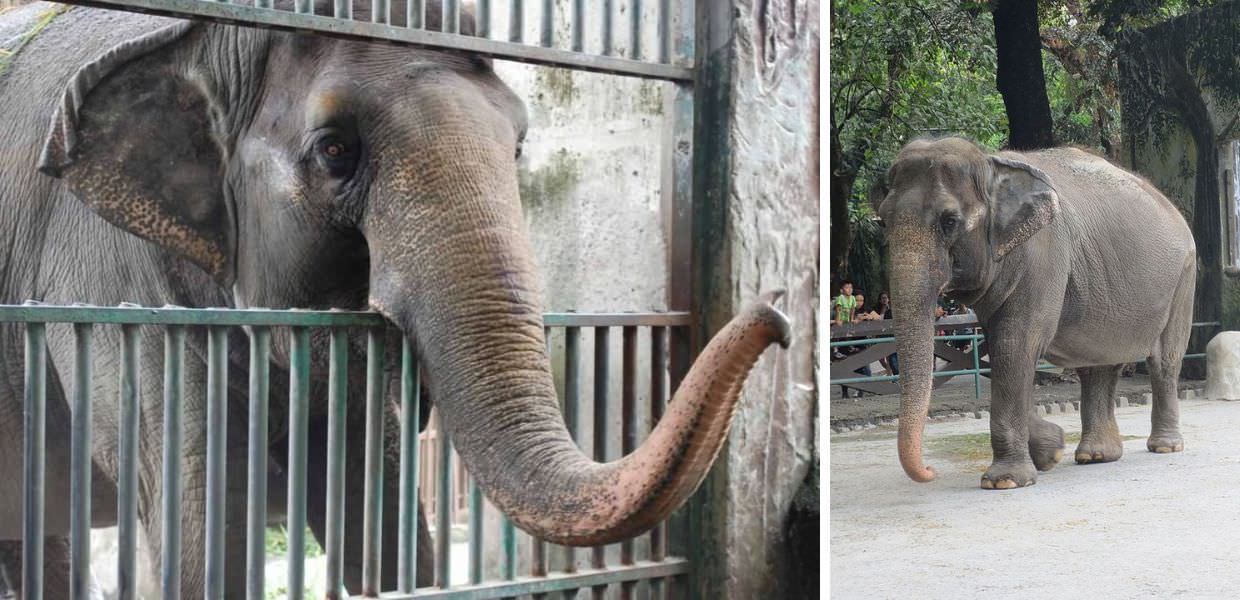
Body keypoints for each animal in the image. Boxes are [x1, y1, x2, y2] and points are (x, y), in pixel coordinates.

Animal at [0, 1, 791, 596]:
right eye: (335, 150)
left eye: (518, 146)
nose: (777, 312)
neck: (208, 37)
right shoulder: (110, 286)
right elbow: (206, 525)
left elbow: (376, 510)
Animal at [876, 136, 1195, 490]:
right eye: (883, 221)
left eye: (949, 221)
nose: (931, 471)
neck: (991, 164)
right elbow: (1004, 348)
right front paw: (1050, 451)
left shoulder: (1044, 256)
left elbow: (1014, 345)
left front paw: (1005, 481)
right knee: (1099, 363)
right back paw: (1096, 456)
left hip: (1183, 279)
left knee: (1164, 359)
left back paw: (1164, 447)